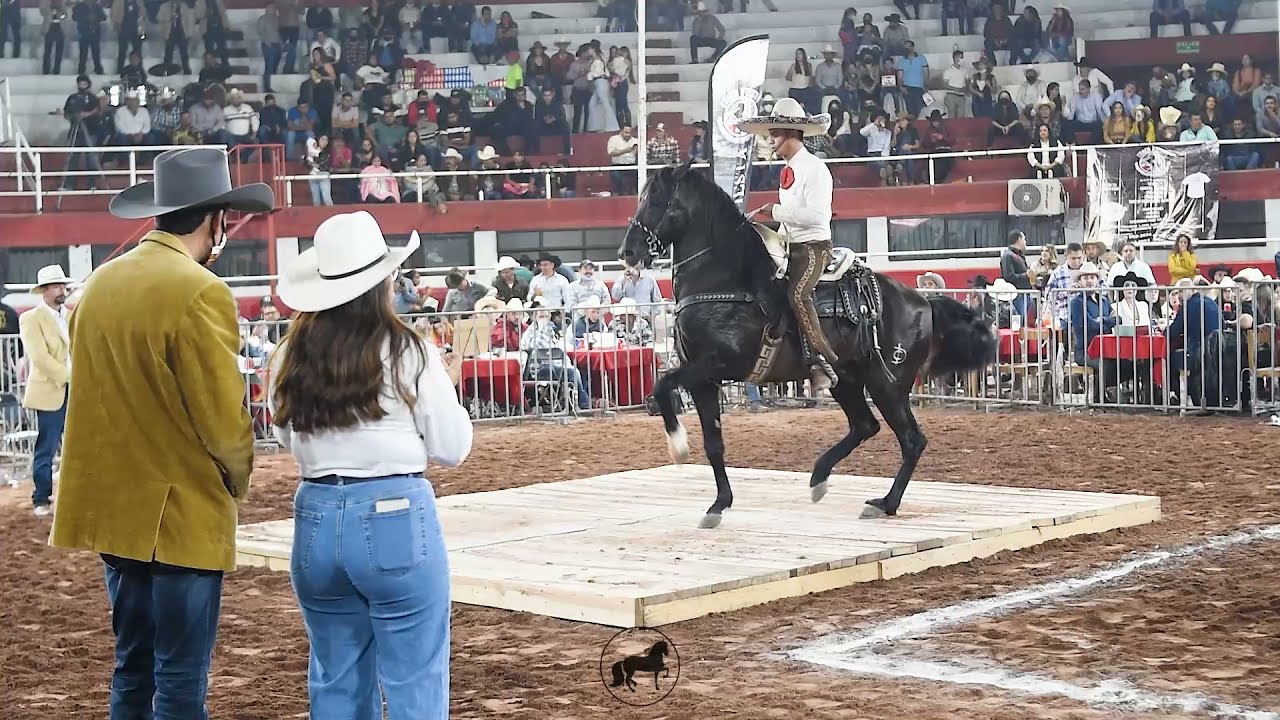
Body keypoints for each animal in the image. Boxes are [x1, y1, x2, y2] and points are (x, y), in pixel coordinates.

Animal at [618, 160, 997, 528]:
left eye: (656, 200)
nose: (628, 251)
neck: (726, 281)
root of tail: (923, 302)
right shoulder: (703, 378)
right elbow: (713, 442)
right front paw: (718, 504)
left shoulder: (716, 363)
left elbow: (662, 385)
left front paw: (679, 449)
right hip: (846, 380)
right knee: (866, 425)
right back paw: (819, 479)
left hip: (887, 384)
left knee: (911, 440)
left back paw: (884, 504)